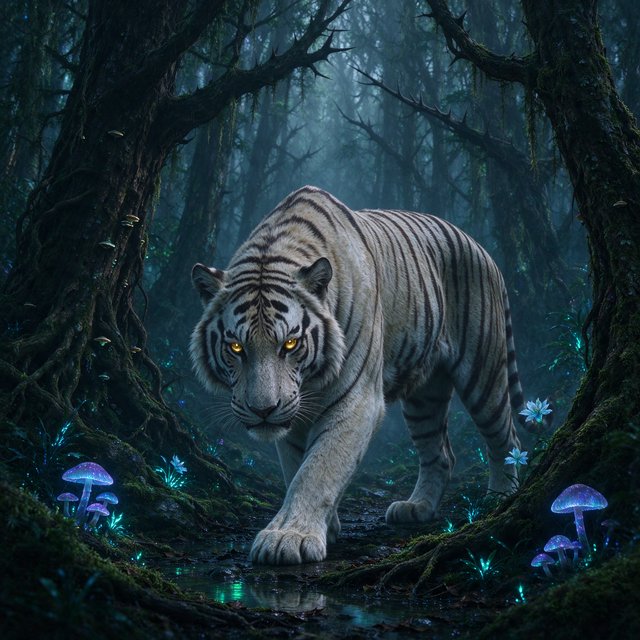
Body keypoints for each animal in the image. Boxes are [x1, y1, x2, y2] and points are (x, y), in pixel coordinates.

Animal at [190, 185, 527, 565]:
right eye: (236, 348)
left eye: (290, 343)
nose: (263, 410)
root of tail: (481, 247)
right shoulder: (293, 412)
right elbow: (295, 465)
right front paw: (326, 526)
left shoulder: (357, 399)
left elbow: (318, 468)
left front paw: (288, 537)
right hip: (424, 396)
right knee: (440, 453)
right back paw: (417, 507)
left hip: (485, 373)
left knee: (506, 439)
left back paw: (499, 498)